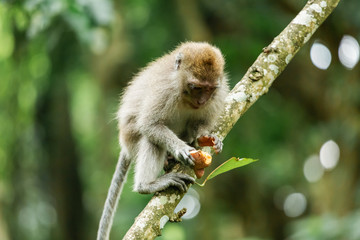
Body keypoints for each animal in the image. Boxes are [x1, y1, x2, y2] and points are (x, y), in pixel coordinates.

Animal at [97, 42, 229, 239]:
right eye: (196, 87)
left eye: (209, 89)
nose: (202, 101)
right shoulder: (165, 89)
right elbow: (150, 124)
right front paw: (181, 150)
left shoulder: (217, 96)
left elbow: (200, 125)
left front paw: (209, 138)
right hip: (131, 137)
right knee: (150, 139)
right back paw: (147, 185)